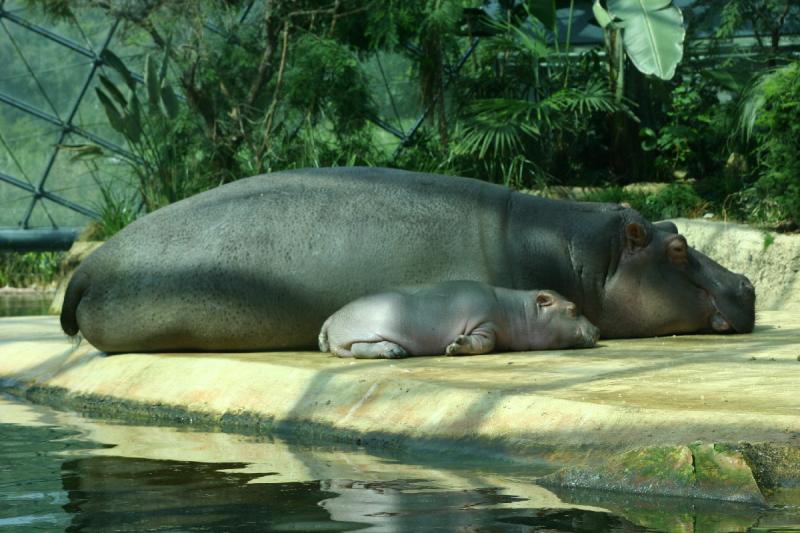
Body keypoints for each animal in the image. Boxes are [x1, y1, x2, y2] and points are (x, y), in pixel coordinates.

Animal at [316, 278, 596, 358]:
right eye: (573, 309)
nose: (597, 330)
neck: (520, 311)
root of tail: (331, 317)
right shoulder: (484, 323)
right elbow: (485, 343)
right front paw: (456, 345)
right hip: (362, 333)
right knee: (360, 349)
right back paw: (394, 352)